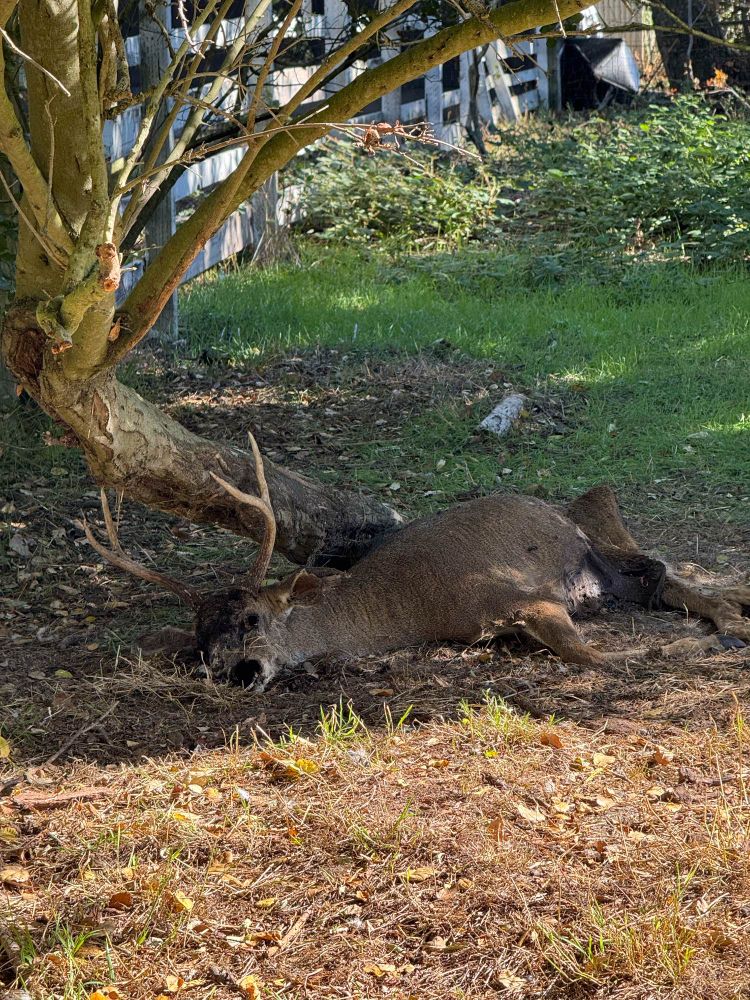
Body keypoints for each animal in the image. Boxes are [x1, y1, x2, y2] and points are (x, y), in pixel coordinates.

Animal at [79, 435, 749, 690]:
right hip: (610, 560)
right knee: (673, 581)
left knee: (676, 575)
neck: (414, 608)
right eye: (199, 641)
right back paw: (734, 615)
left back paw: (729, 624)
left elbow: (596, 655)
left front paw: (689, 649)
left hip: (599, 518)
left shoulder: (523, 595)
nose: (235, 672)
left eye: (252, 618)